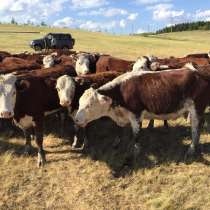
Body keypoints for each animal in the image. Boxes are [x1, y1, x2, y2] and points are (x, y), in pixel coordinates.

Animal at [75, 68, 210, 165]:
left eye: (89, 105)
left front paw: (136, 152)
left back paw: (191, 149)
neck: (120, 92)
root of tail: (199, 74)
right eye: (79, 102)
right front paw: (116, 143)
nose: (76, 119)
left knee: (195, 129)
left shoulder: (136, 115)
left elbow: (136, 135)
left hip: (197, 108)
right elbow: (119, 131)